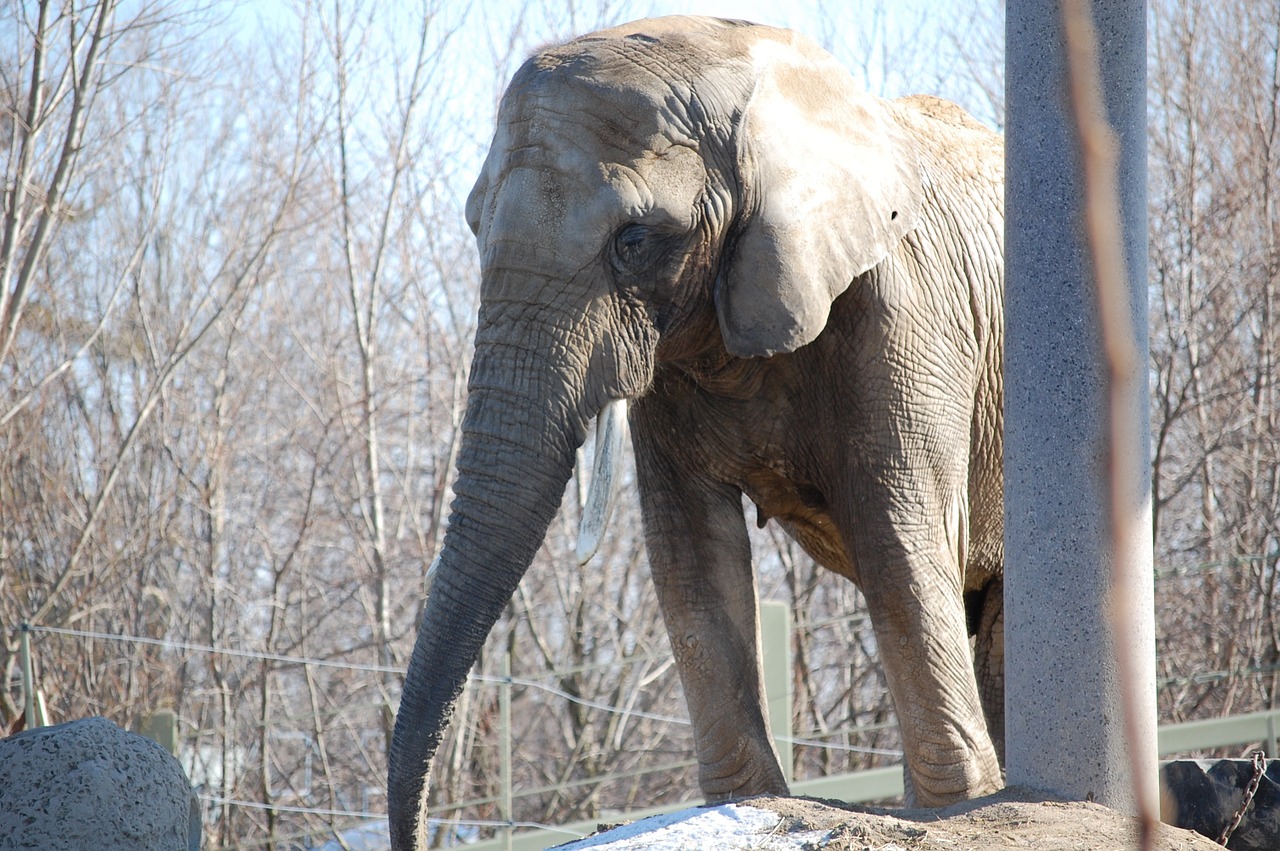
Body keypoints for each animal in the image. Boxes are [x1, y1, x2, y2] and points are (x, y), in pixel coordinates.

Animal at [384, 14, 1003, 849]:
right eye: (474, 226)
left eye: (634, 240)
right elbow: (689, 554)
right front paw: (746, 798)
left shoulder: (907, 316)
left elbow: (898, 542)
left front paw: (957, 807)